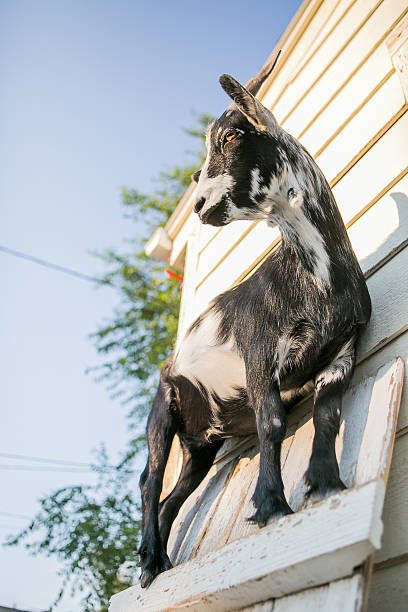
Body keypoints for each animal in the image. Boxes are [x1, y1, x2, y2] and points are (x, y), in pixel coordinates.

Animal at [137, 56, 370, 588]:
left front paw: (325, 483)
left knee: (174, 495)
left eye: (230, 136)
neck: (316, 280)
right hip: (164, 405)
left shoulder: (343, 351)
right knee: (150, 479)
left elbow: (328, 412)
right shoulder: (259, 350)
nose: (199, 206)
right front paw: (270, 505)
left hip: (201, 445)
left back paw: (163, 561)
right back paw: (148, 559)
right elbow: (271, 422)